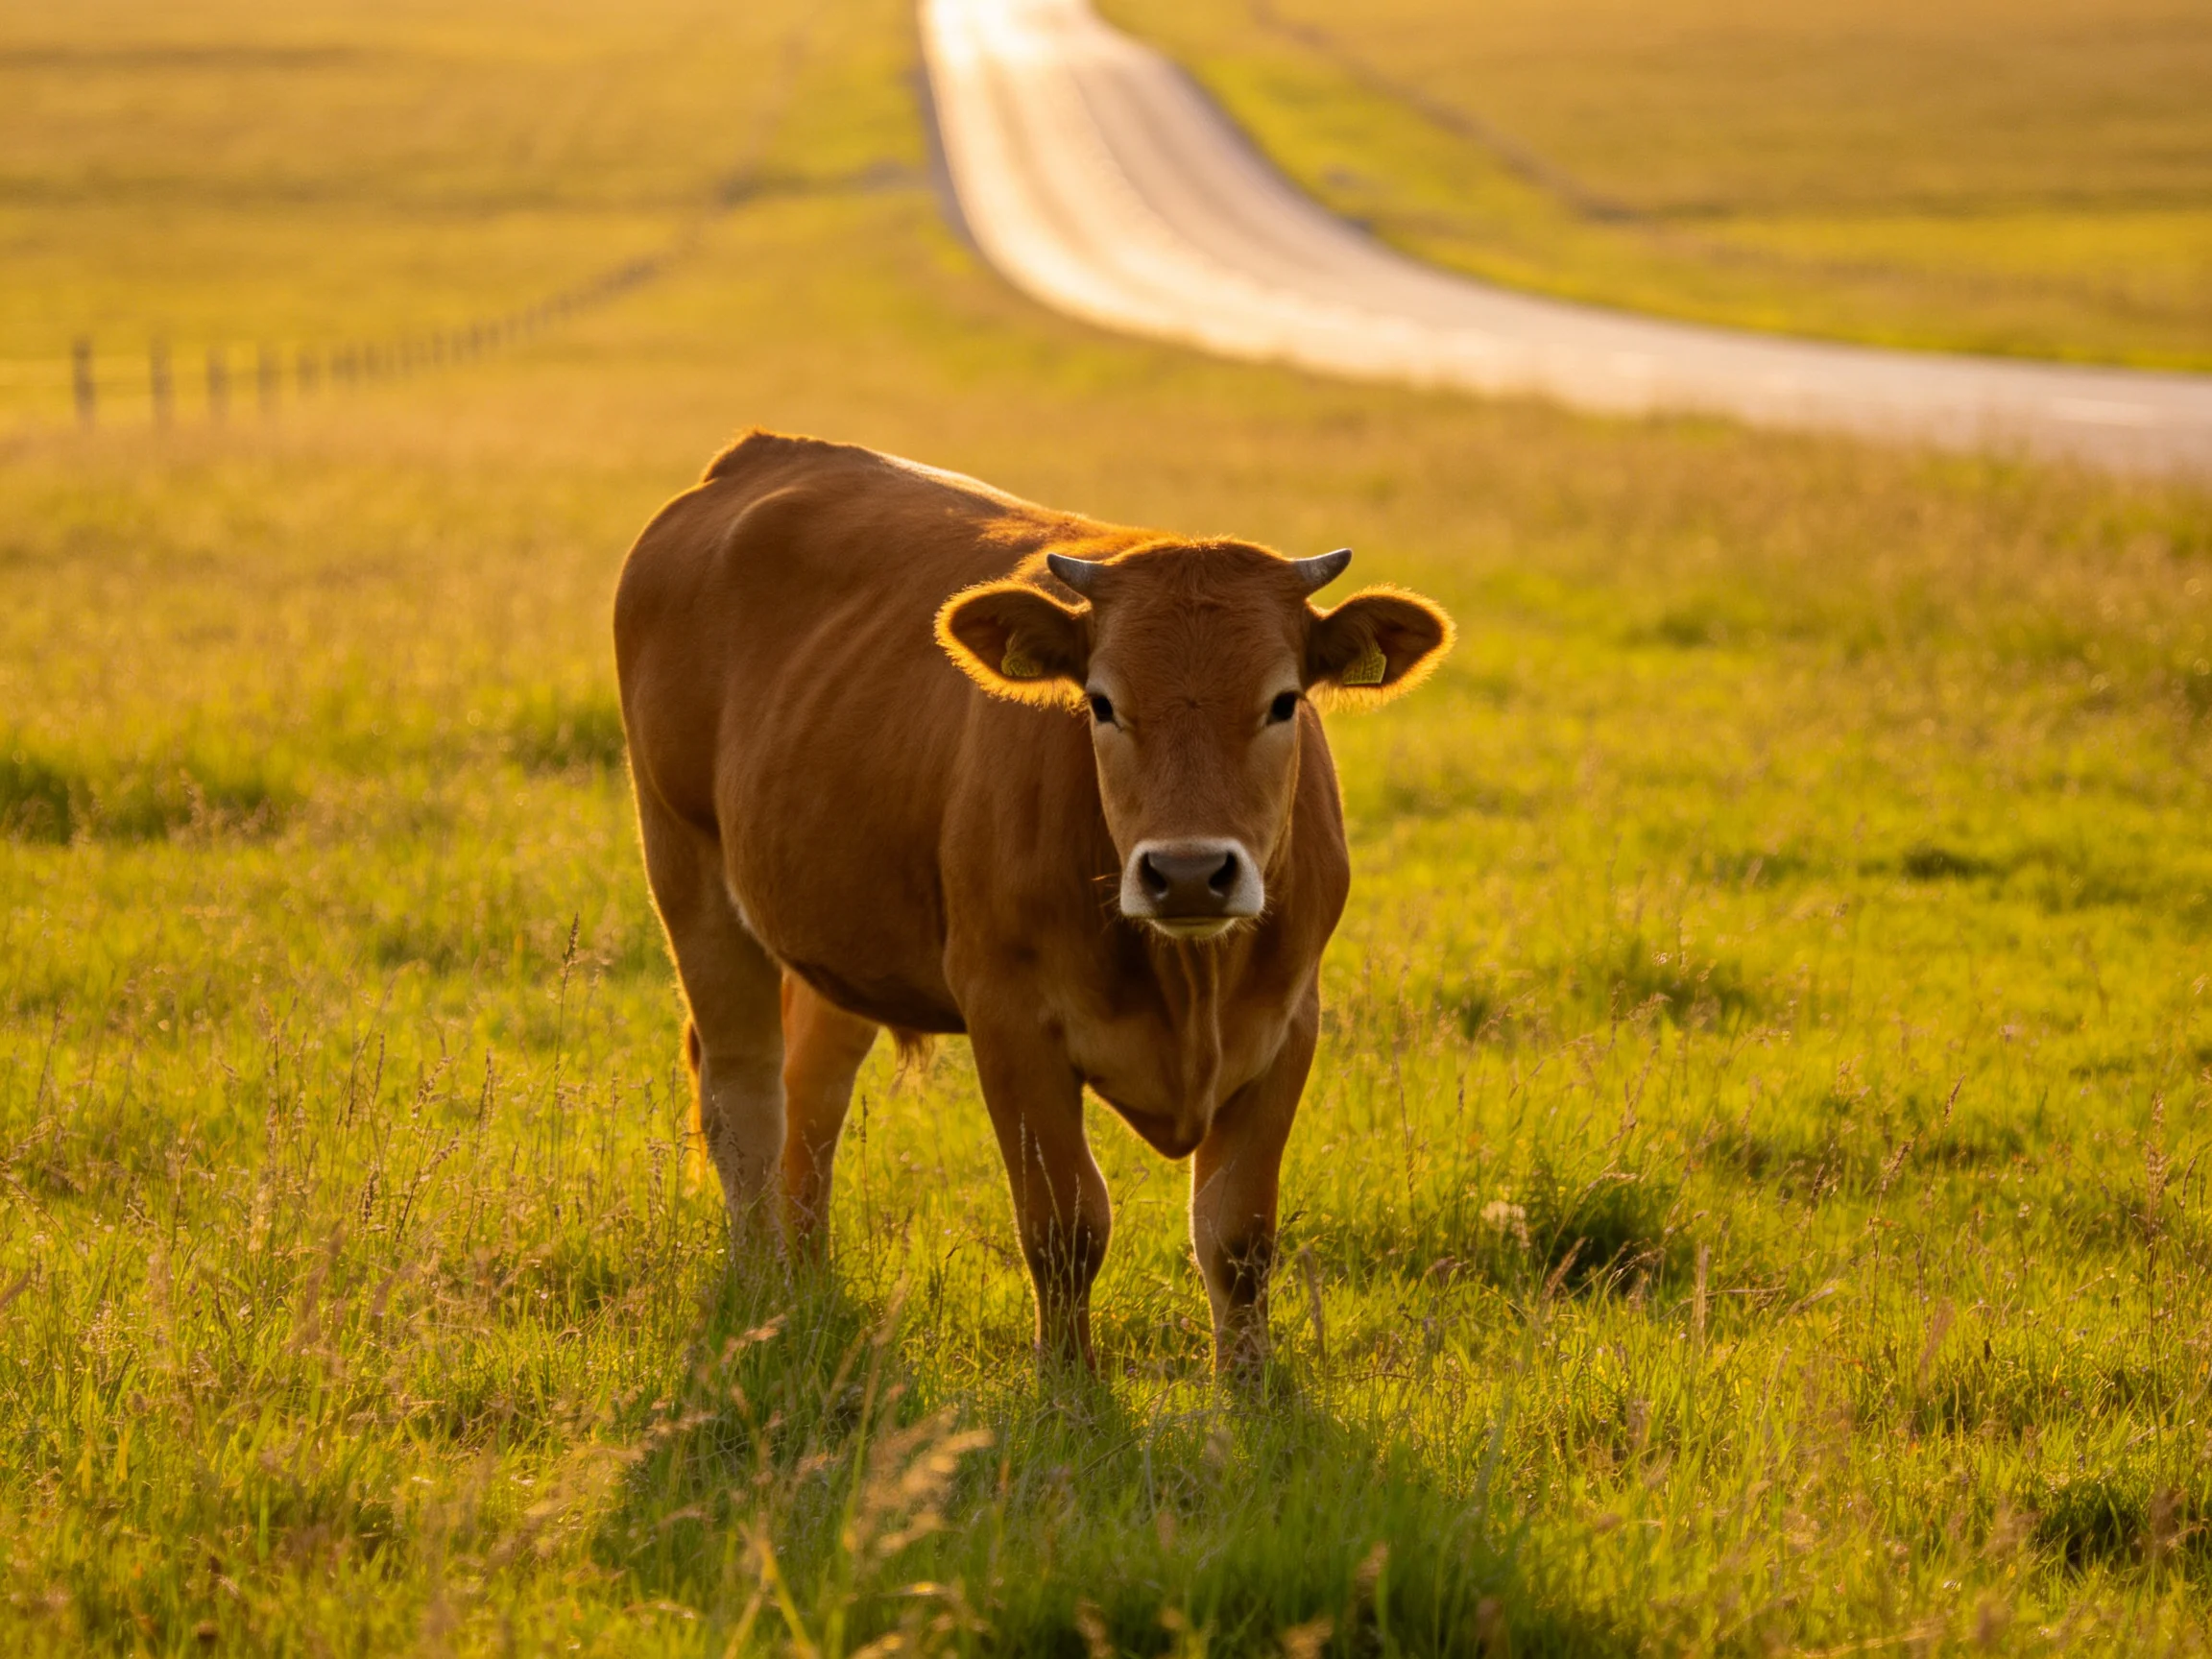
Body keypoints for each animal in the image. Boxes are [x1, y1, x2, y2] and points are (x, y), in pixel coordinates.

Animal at [613, 430, 1452, 1374]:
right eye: (1102, 703)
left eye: (1283, 702)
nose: (1190, 872)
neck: (1187, 980)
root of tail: (755, 459)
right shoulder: (1011, 1021)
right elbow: (1065, 1225)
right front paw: (1070, 1385)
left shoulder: (1288, 1022)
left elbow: (1239, 1237)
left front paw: (1251, 1387)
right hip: (686, 867)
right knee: (744, 1098)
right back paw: (761, 1292)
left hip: (833, 934)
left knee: (813, 1096)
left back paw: (807, 1286)